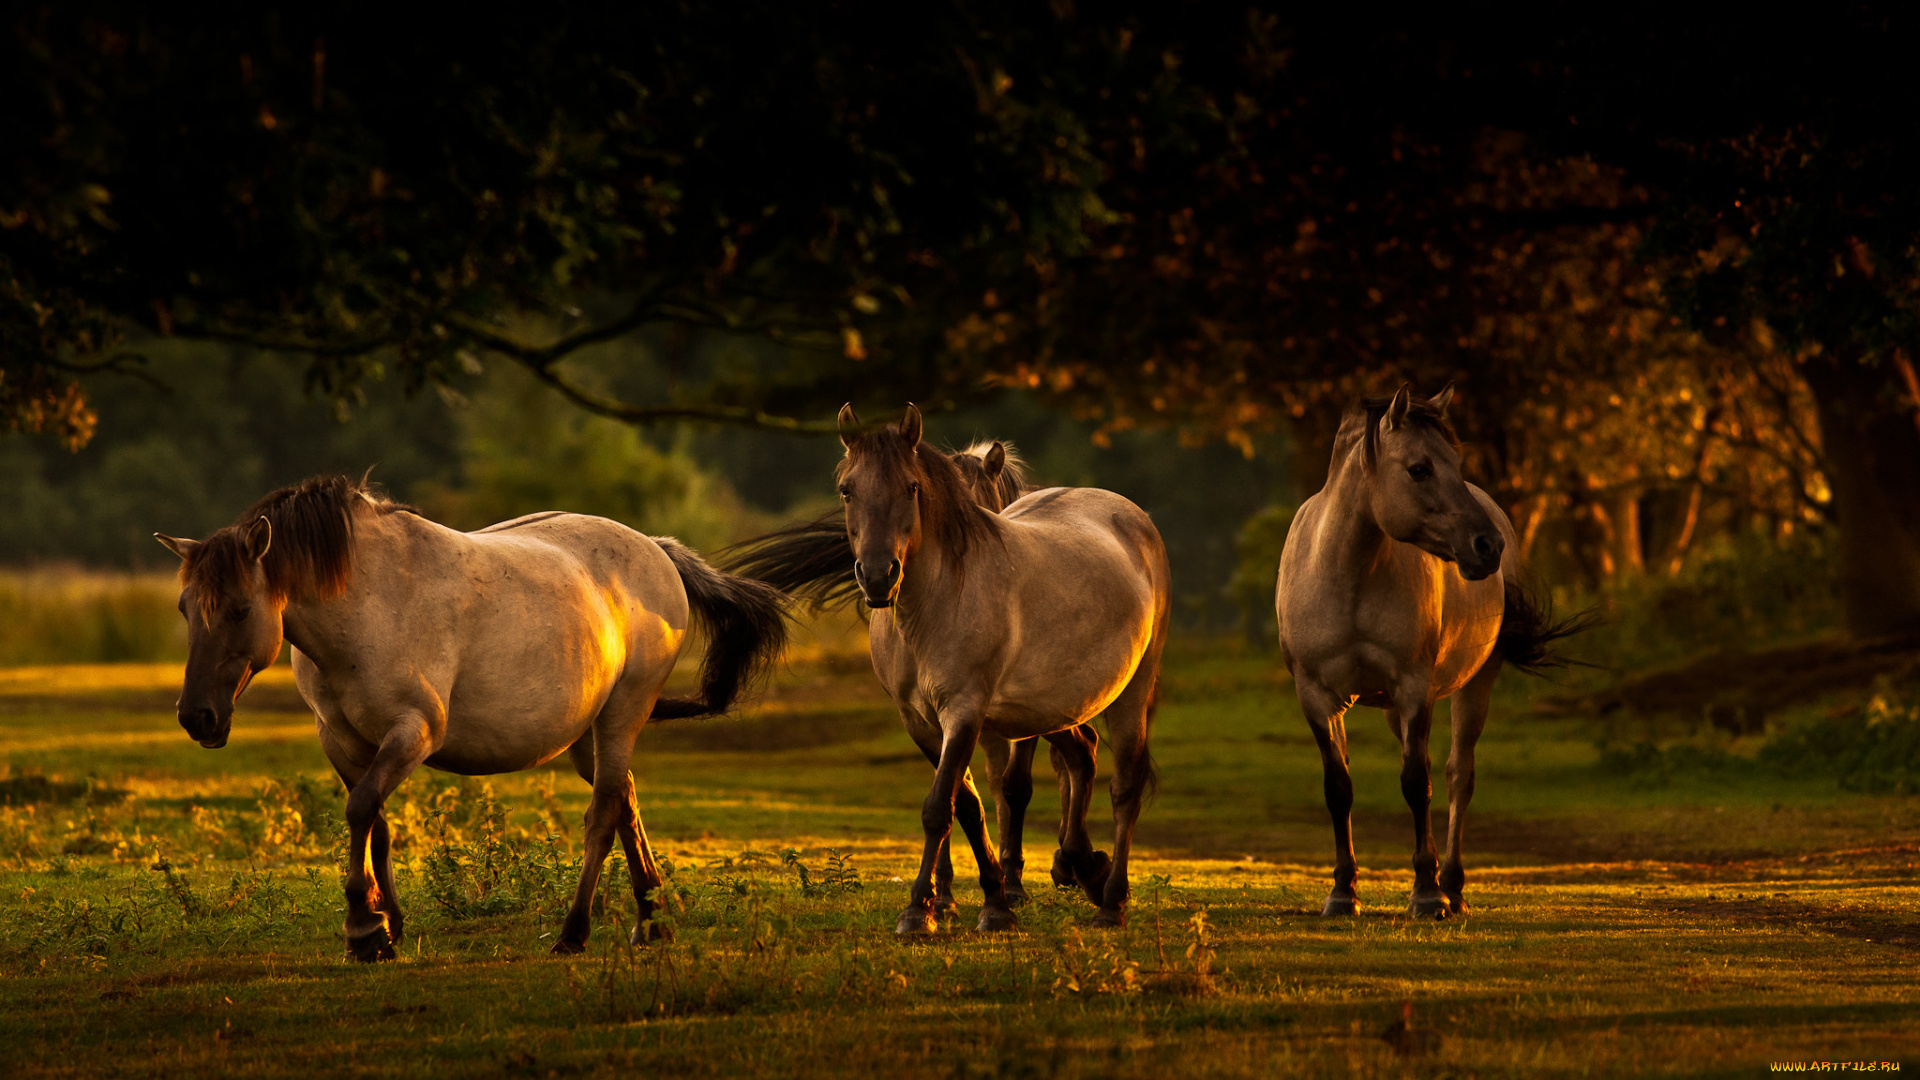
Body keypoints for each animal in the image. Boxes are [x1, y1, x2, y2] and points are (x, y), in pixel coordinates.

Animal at [155, 474, 787, 953]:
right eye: (184, 608)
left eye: (240, 609)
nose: (197, 717)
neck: (370, 603)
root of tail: (657, 551)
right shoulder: (343, 742)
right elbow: (376, 823)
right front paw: (390, 927)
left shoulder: (413, 732)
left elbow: (361, 811)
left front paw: (364, 929)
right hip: (589, 734)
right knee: (626, 801)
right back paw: (650, 922)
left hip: (623, 714)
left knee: (604, 815)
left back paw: (574, 932)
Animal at [1282, 386, 1582, 914]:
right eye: (1419, 468)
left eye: (1455, 461)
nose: (1487, 546)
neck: (1346, 579)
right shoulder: (1316, 696)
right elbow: (1338, 787)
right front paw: (1342, 891)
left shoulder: (1413, 689)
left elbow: (1416, 783)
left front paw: (1426, 892)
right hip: (1387, 707)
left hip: (1474, 686)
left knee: (1458, 775)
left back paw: (1453, 885)